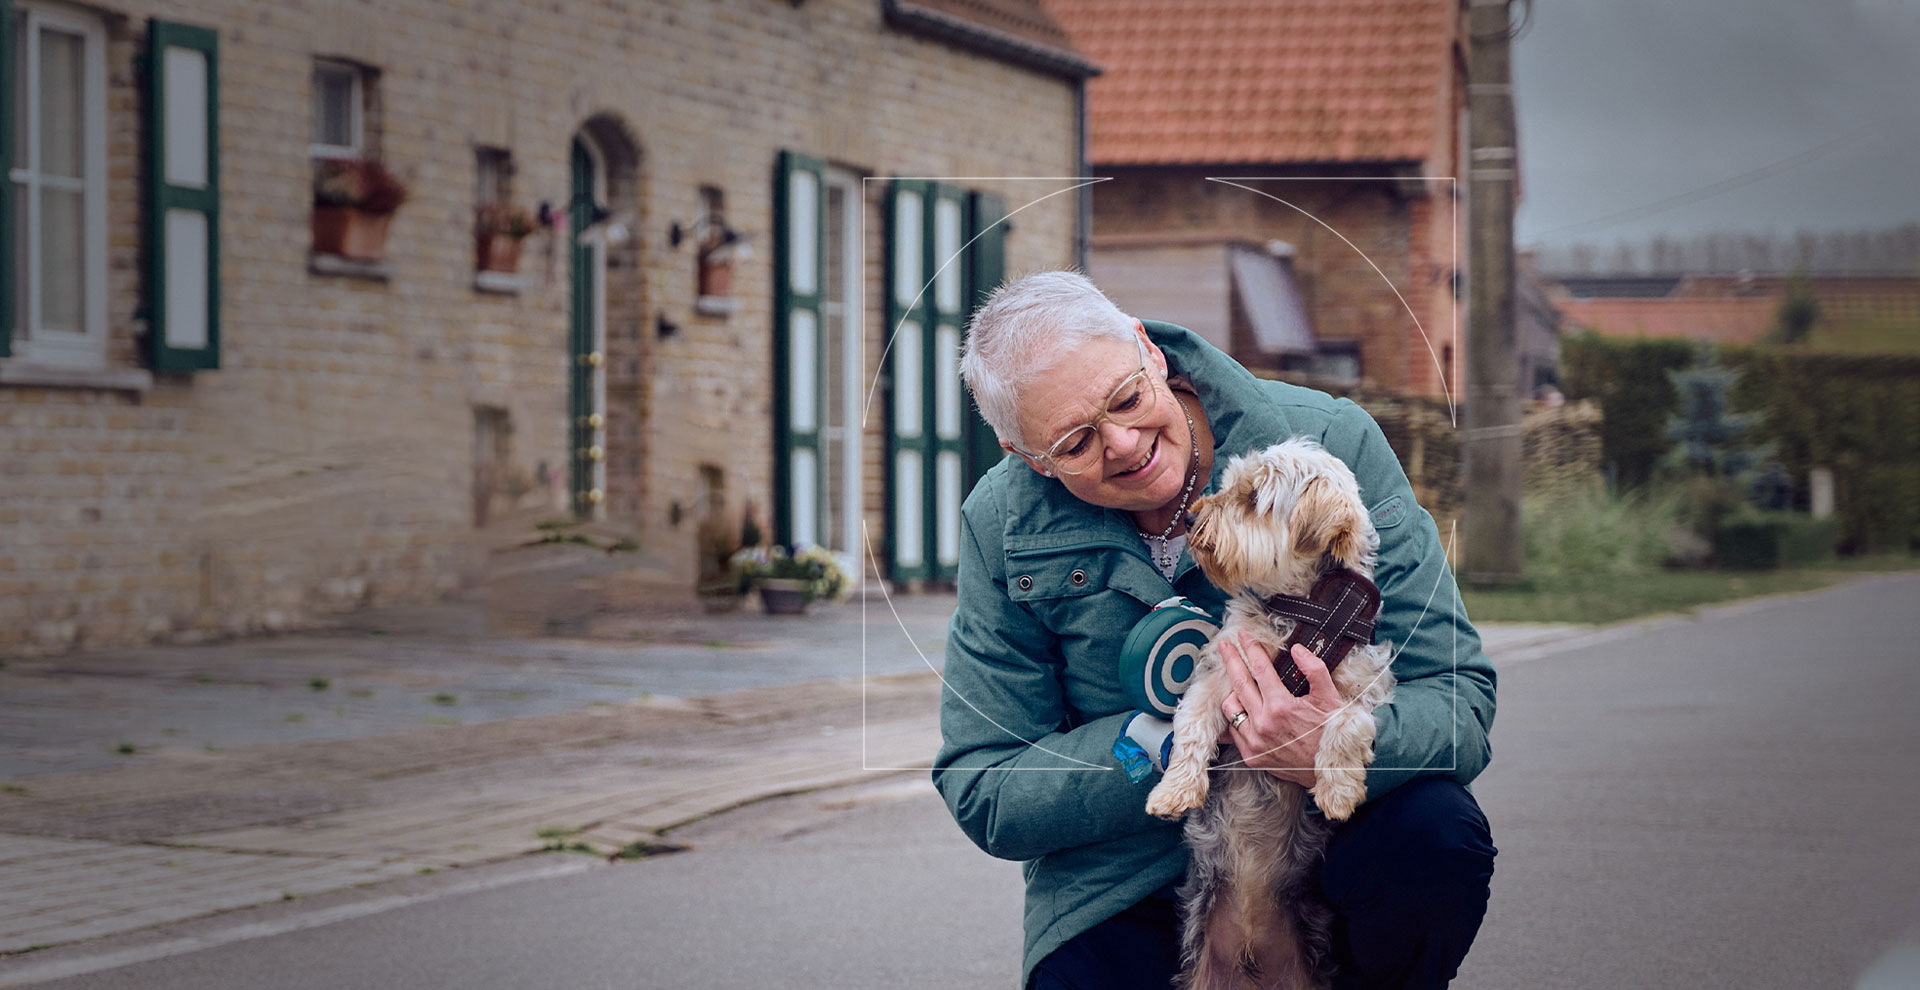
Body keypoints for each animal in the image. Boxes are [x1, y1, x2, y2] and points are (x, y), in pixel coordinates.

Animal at [1136, 437, 1397, 990]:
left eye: (1253, 497)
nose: (1191, 517)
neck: (1302, 615)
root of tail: (1251, 954)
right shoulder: (1220, 674)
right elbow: (1190, 726)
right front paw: (1174, 791)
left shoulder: (1365, 686)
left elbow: (1348, 722)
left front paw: (1338, 790)